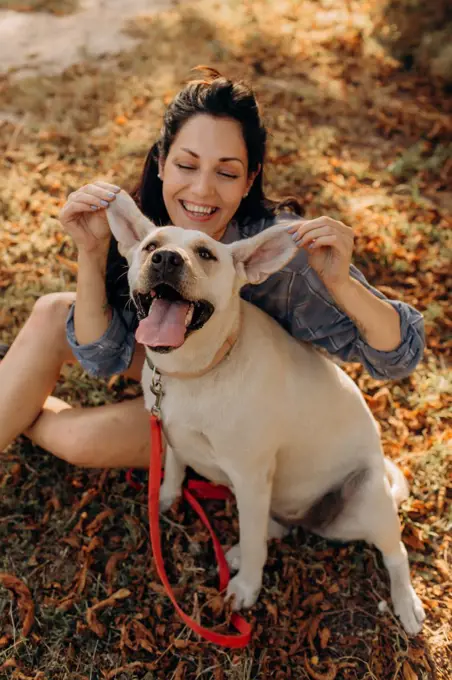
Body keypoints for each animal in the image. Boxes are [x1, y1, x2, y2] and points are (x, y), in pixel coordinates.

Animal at [107, 190, 426, 632]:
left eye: (206, 253)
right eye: (151, 246)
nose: (166, 259)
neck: (196, 370)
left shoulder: (251, 475)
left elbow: (254, 539)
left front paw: (246, 588)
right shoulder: (170, 431)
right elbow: (173, 467)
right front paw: (166, 497)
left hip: (366, 501)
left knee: (395, 554)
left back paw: (406, 602)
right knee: (272, 529)